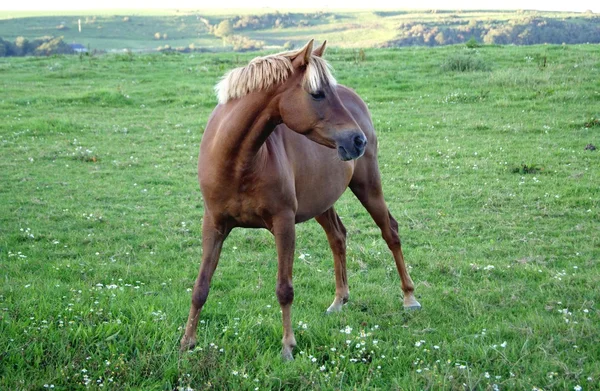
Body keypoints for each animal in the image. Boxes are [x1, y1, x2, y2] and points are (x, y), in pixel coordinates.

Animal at [180, 39, 420, 362]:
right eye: (317, 93)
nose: (357, 140)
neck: (238, 162)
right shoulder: (214, 225)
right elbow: (201, 286)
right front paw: (187, 343)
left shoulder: (284, 224)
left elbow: (284, 289)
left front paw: (287, 347)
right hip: (322, 202)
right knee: (338, 237)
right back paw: (339, 301)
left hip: (368, 185)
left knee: (390, 232)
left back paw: (409, 297)